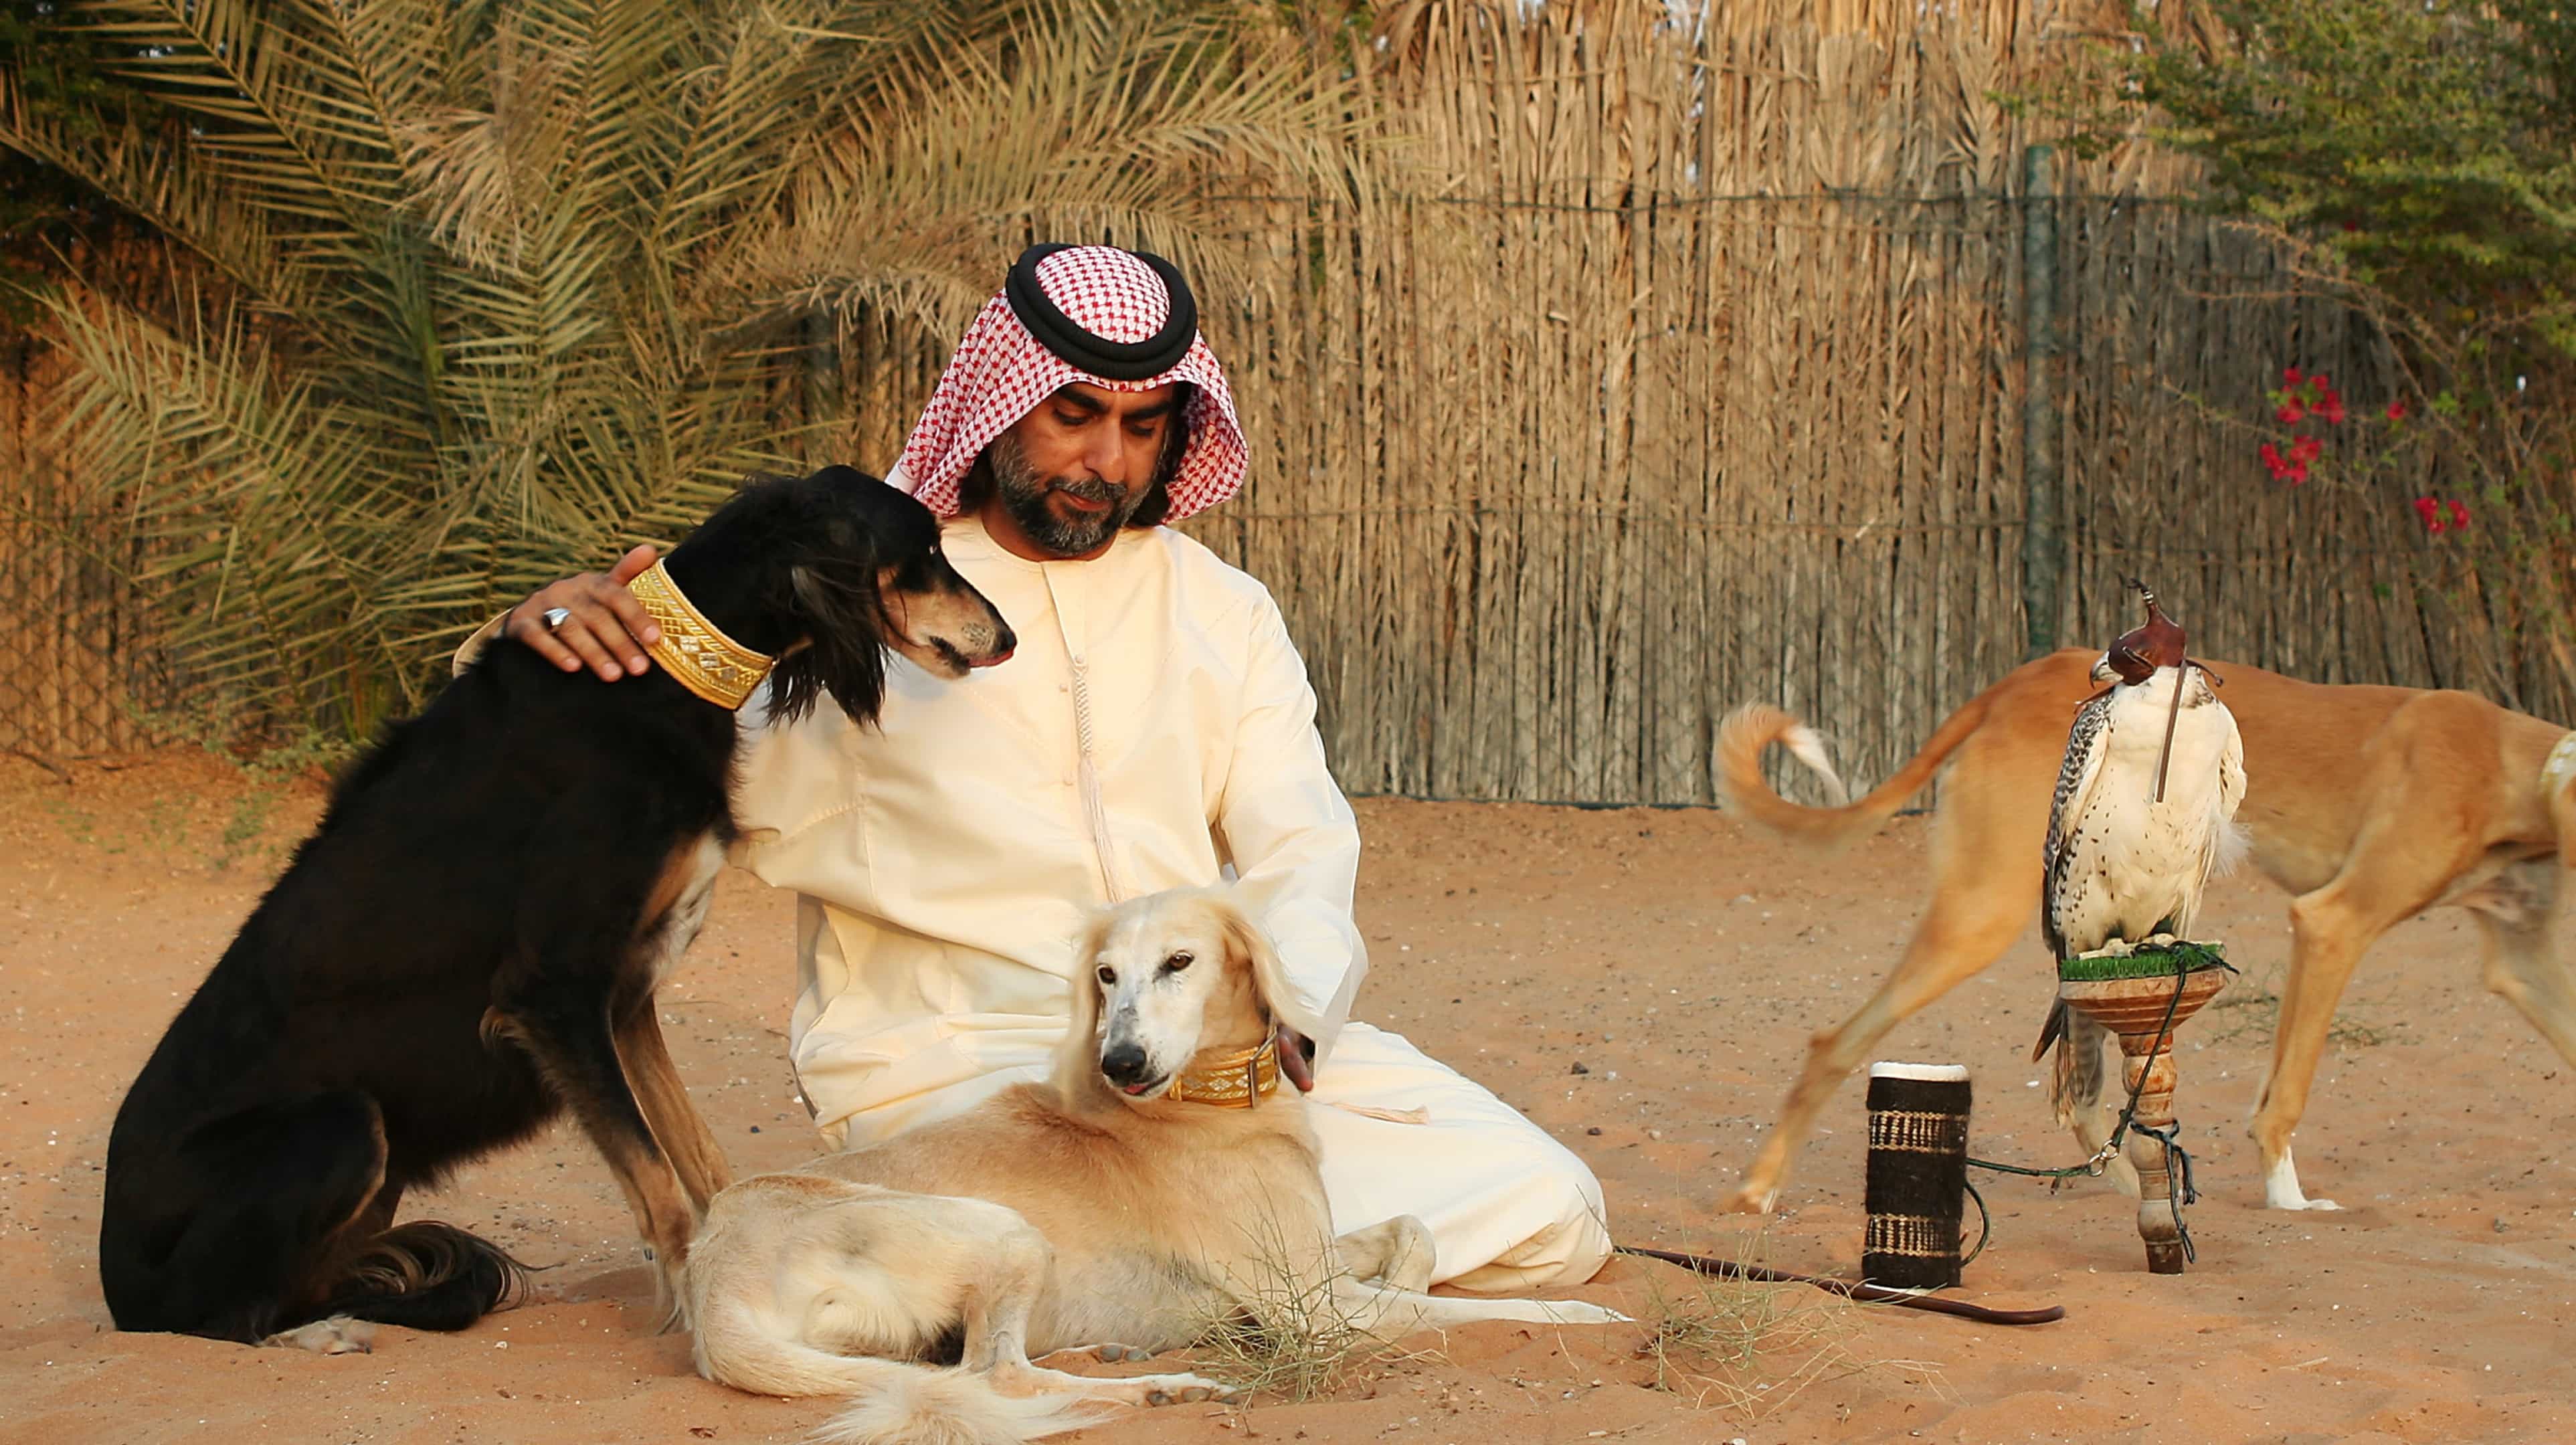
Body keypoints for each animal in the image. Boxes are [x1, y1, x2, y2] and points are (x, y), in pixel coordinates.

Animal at [100, 468, 1010, 1349]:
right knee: (224, 1316)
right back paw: (323, 1330)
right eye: (926, 552)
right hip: (340, 1126)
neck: (653, 679)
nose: (1004, 638)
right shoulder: (554, 992)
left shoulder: (627, 993)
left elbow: (701, 1158)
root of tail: (116, 1282)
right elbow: (659, 1187)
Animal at [674, 886, 1617, 1432]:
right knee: (996, 1380)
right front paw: (1587, 1317)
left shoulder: (1314, 1262)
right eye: (1101, 975)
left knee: (991, 1372)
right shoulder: (1314, 1307)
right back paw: (1162, 1392)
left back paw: (1114, 1362)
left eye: (1178, 962)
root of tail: (714, 1279)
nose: (1120, 1064)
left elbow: (1414, 1232)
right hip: (1000, 1230)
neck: (1205, 1105)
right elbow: (1496, 1311)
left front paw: (1406, 1276)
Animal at [1710, 652, 2576, 1216]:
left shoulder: (2524, 964)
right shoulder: (2334, 923)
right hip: (1990, 914)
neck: (2504, 759)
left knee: (2078, 1095)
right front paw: (2288, 1197)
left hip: (2090, 926)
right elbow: (2286, 1094)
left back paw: (2131, 1185)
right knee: (1839, 1042)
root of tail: (2011, 682)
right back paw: (1759, 1188)